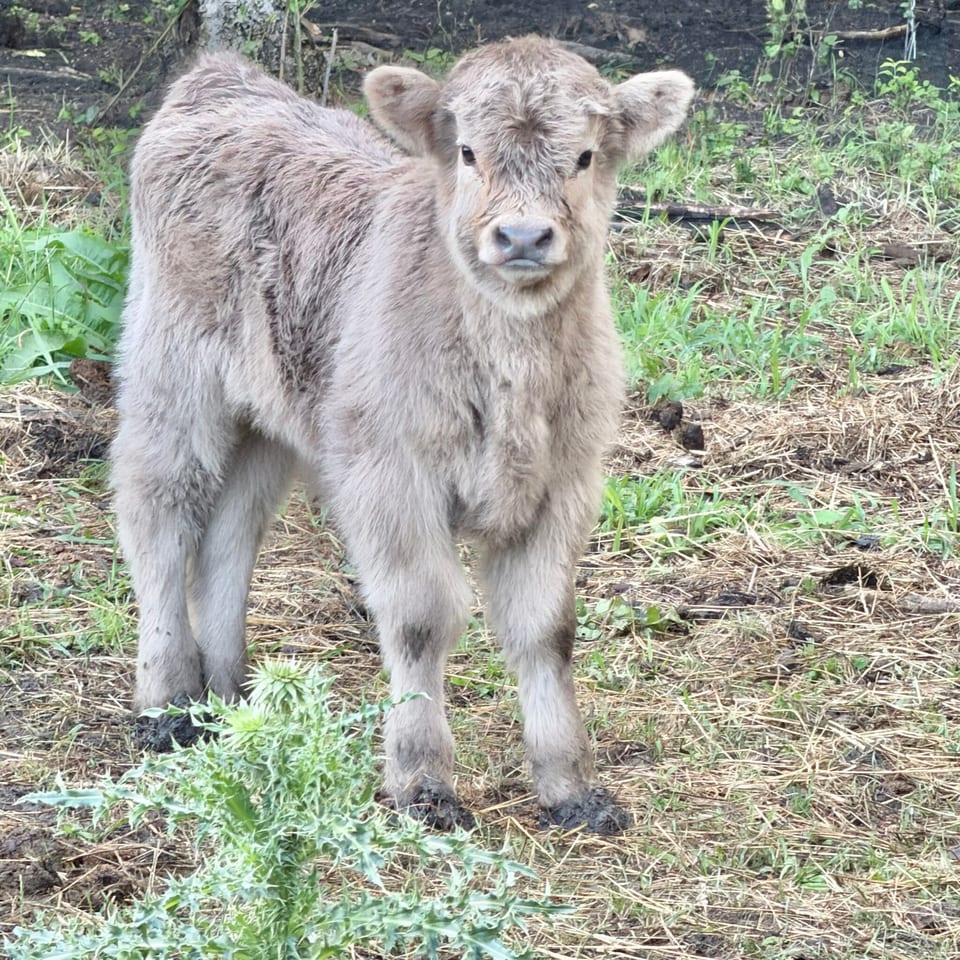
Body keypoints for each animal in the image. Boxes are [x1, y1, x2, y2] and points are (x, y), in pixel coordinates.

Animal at [111, 36, 694, 833]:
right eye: (469, 151)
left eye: (583, 156)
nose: (521, 236)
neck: (508, 369)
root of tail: (224, 77)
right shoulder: (390, 475)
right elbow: (421, 617)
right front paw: (423, 780)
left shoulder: (565, 484)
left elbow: (546, 628)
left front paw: (571, 786)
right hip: (172, 379)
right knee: (160, 515)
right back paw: (169, 704)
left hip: (270, 419)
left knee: (231, 533)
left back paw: (229, 698)